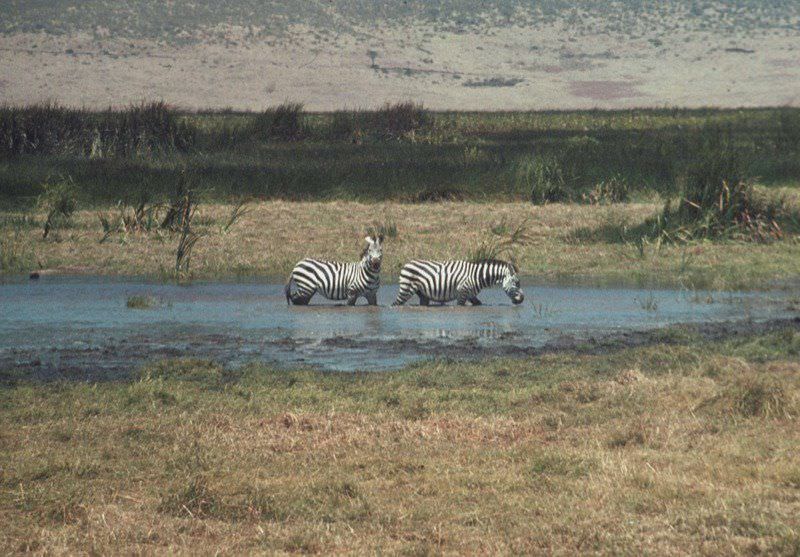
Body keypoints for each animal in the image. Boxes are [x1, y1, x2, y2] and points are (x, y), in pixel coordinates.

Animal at [392, 258, 524, 306]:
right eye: (517, 283)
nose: (522, 300)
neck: (477, 276)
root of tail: (406, 264)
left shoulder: (471, 295)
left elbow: (478, 303)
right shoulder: (462, 292)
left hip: (422, 293)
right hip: (406, 290)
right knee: (396, 304)